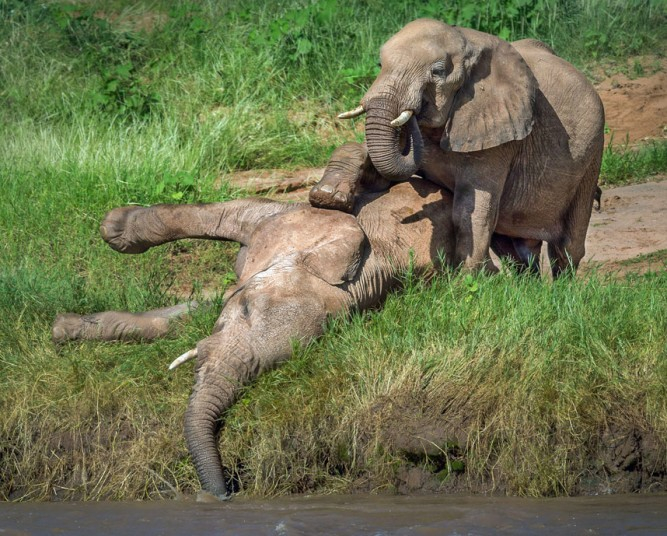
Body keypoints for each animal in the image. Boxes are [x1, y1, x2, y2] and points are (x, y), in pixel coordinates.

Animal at [52, 150, 460, 498]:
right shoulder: (298, 219)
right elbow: (230, 214)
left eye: (272, 366)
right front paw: (114, 229)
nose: (224, 493)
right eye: (246, 309)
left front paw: (64, 329)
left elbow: (195, 314)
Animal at [314, 17, 604, 276]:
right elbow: (379, 171)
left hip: (592, 154)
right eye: (380, 64)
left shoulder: (498, 133)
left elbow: (470, 208)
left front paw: (468, 282)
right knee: (513, 247)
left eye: (438, 72)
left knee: (567, 246)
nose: (417, 108)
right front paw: (326, 197)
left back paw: (559, 289)